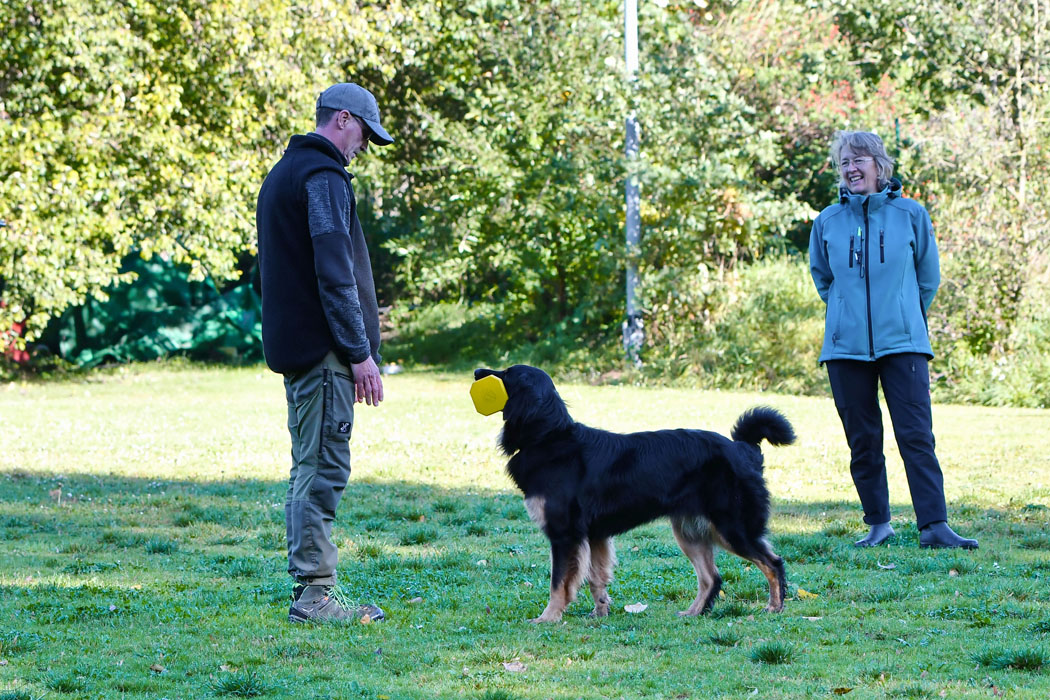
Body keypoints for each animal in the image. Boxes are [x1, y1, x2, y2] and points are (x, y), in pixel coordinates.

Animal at [476, 367, 793, 625]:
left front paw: (548, 617)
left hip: (733, 527)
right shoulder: (595, 535)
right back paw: (694, 612)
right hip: (690, 532)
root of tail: (743, 448)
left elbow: (559, 583)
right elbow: (596, 579)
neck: (549, 437)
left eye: (506, 374)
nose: (478, 371)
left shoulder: (564, 535)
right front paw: (599, 613)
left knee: (773, 562)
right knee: (712, 578)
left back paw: (774, 608)